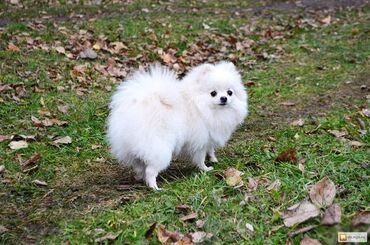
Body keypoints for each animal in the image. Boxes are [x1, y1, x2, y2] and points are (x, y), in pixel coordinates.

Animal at [107, 61, 249, 189]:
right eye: (213, 93)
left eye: (230, 92)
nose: (224, 98)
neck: (201, 105)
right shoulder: (200, 140)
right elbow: (200, 157)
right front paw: (205, 168)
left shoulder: (209, 136)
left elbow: (211, 149)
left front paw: (213, 158)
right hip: (159, 149)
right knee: (151, 170)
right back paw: (154, 187)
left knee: (139, 165)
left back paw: (141, 178)